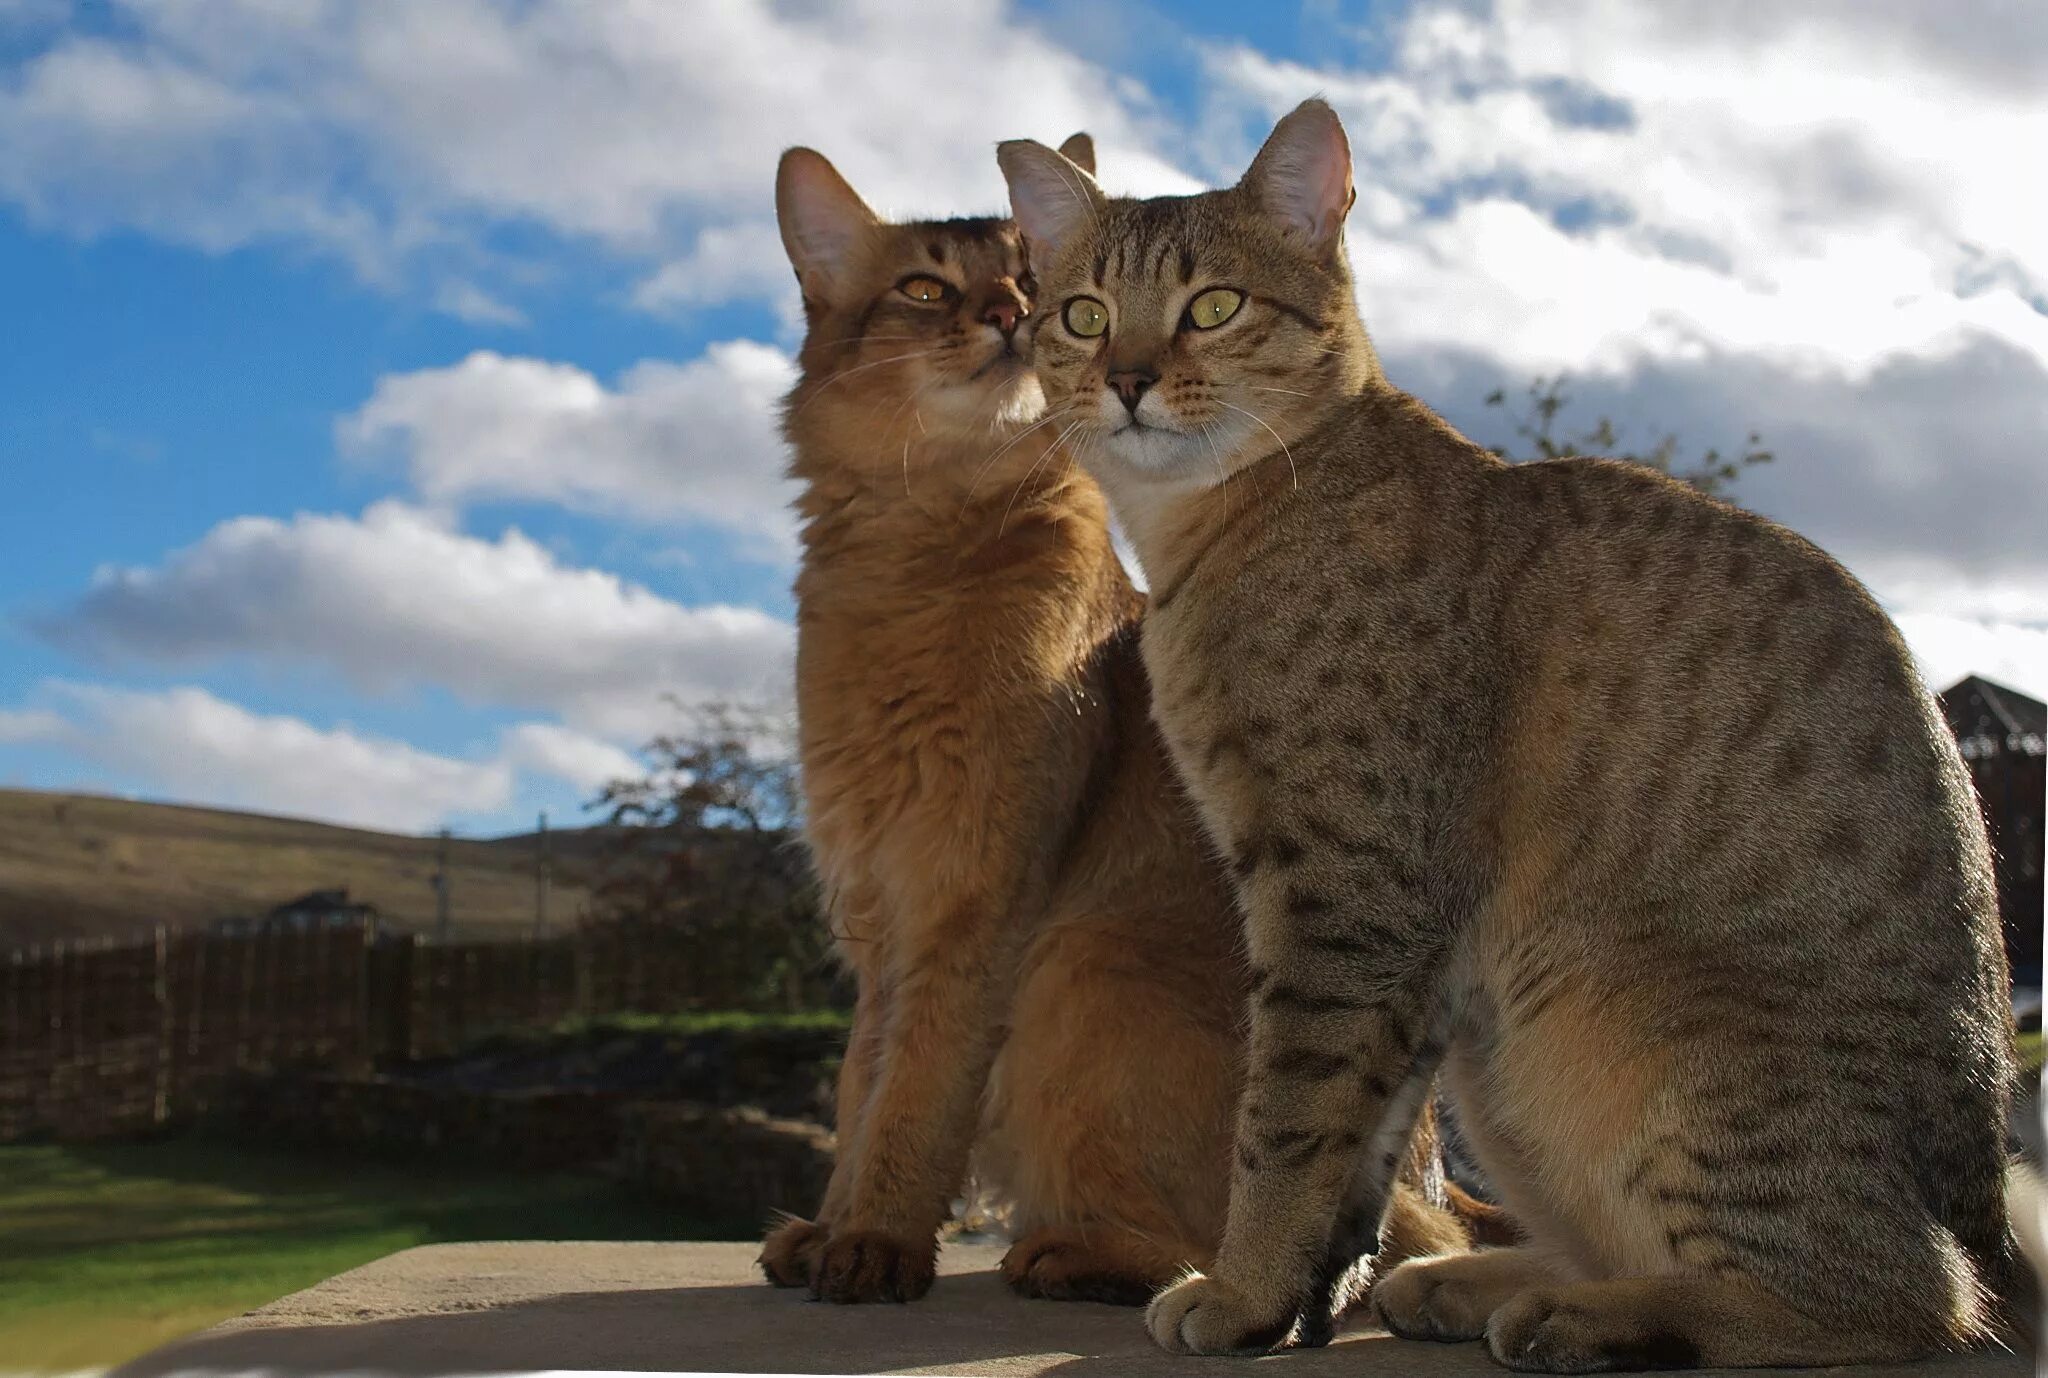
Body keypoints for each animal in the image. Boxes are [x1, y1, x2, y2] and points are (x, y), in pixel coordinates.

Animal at [753, 139, 1490, 1310]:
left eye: (1031, 279)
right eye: (926, 288)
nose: (1010, 312)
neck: (920, 558)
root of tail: (1427, 1173)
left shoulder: (977, 900)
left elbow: (917, 1089)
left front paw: (871, 1239)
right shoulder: (875, 908)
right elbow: (859, 1079)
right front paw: (828, 1223)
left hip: (1084, 964)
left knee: (1302, 1247)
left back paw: (1076, 1257)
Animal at [995, 102, 2031, 1367]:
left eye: (1212, 305)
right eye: (1083, 314)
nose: (1128, 378)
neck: (1219, 530)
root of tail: (1985, 1220)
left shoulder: (1346, 895)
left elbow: (1284, 1121)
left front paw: (1240, 1289)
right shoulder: (1404, 946)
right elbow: (1365, 1150)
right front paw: (1308, 1294)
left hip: (1625, 1042)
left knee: (1896, 1304)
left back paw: (1582, 1311)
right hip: (1502, 1058)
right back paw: (1474, 1280)